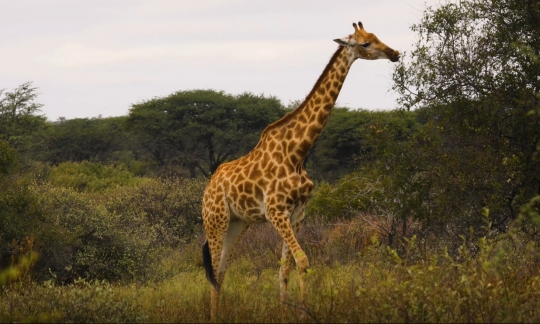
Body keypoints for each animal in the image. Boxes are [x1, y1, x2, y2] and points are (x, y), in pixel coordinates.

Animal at [200, 21, 398, 320]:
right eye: (365, 43)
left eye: (376, 36)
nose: (395, 53)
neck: (298, 153)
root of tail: (207, 189)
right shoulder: (275, 211)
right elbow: (303, 261)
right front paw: (305, 314)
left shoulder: (297, 213)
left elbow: (286, 269)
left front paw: (289, 312)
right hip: (216, 220)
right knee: (212, 271)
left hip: (239, 223)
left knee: (221, 272)